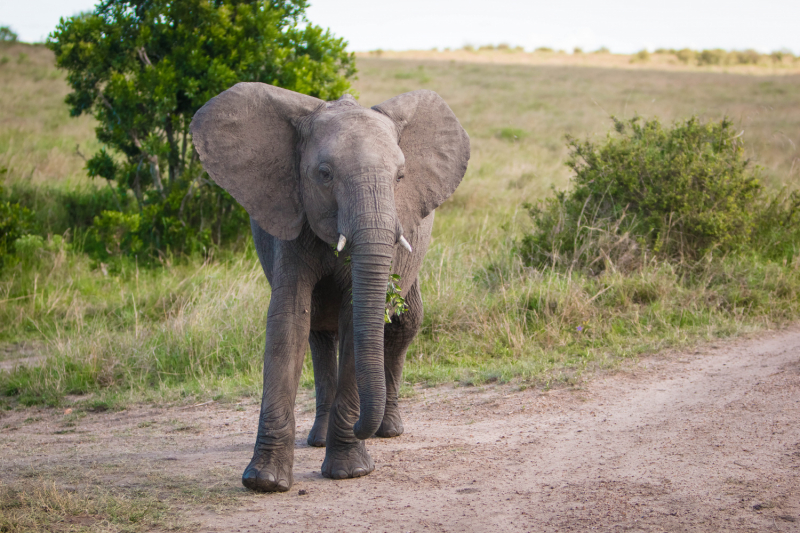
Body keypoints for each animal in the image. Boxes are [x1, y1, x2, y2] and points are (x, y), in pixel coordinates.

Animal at [189, 82, 468, 490]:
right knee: (319, 336)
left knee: (404, 325)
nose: (361, 426)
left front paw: (351, 471)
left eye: (400, 177)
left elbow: (356, 320)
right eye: (324, 174)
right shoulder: (290, 222)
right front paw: (264, 481)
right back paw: (320, 438)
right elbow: (288, 323)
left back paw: (387, 430)